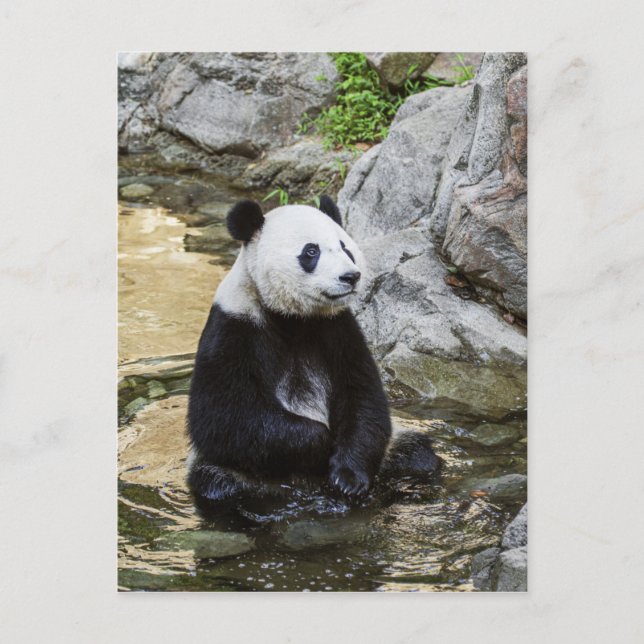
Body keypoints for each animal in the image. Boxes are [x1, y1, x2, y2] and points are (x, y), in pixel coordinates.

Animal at [187, 195, 439, 508]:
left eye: (345, 247)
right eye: (311, 251)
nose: (351, 276)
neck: (293, 317)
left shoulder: (338, 329)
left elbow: (363, 397)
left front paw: (349, 478)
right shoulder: (233, 328)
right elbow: (223, 417)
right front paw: (321, 444)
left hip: (392, 451)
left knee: (417, 455)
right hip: (231, 470)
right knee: (218, 483)